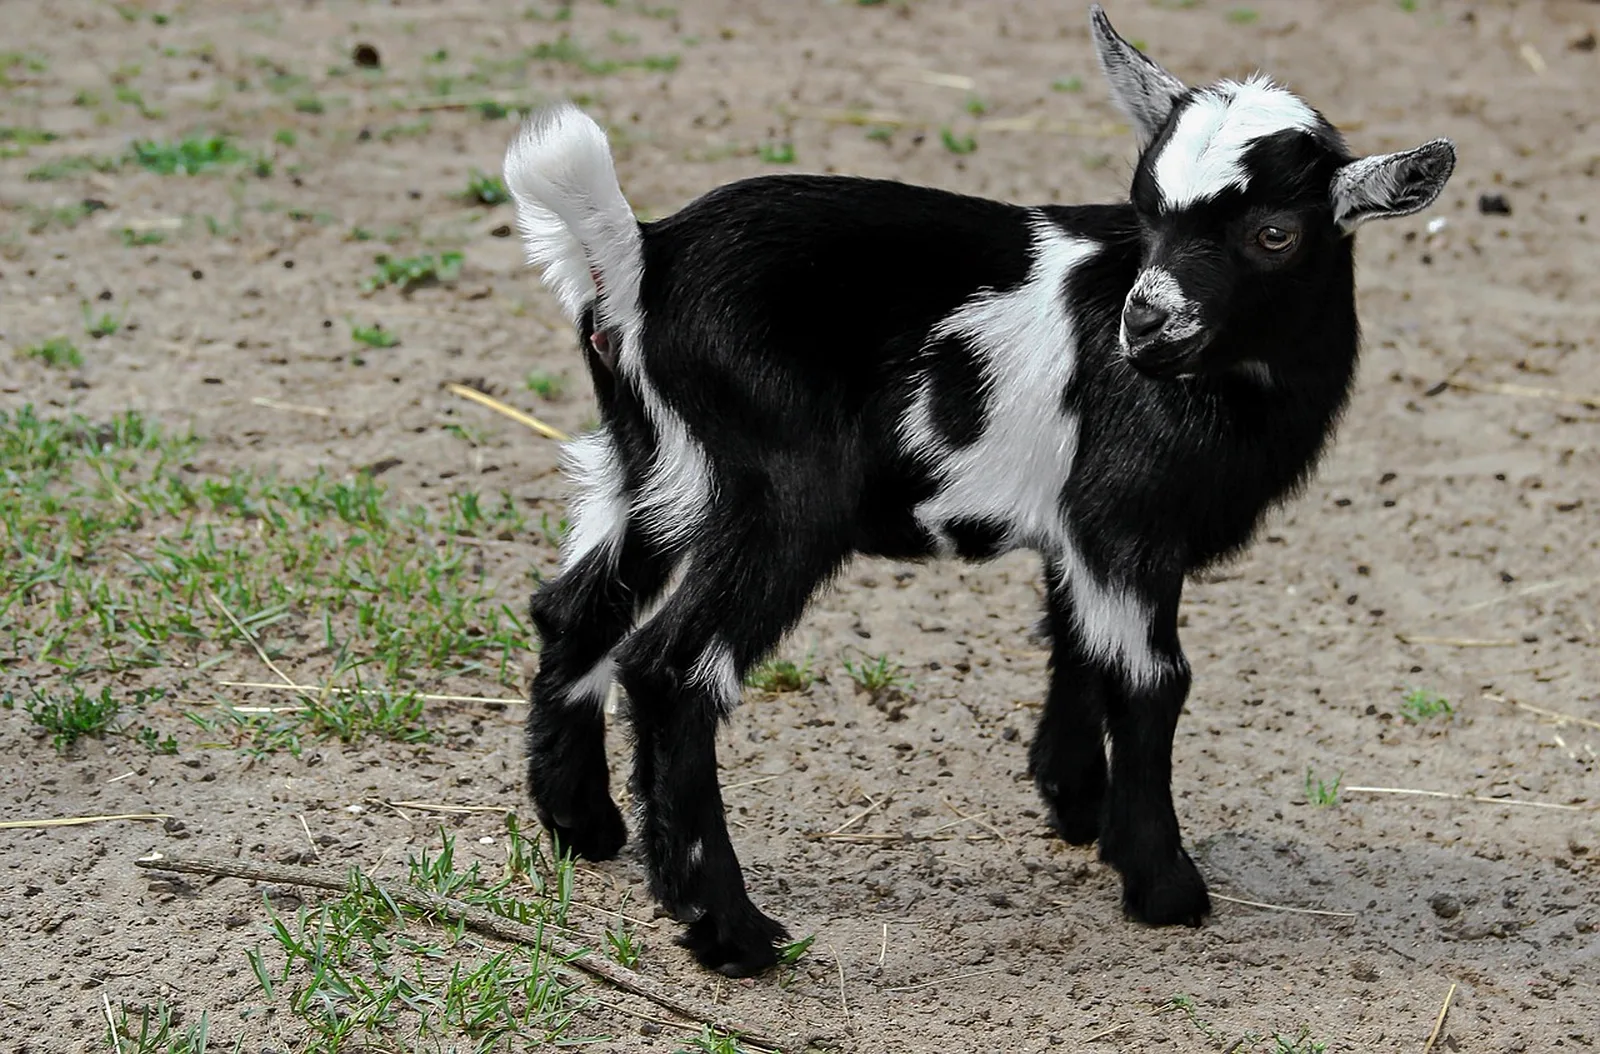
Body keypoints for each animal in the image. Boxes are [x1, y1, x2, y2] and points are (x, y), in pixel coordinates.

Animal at [503, 4, 1455, 976]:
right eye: (1146, 210)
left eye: (1275, 233)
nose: (1143, 323)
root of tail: (642, 262)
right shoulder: (1126, 520)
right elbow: (1153, 678)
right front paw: (1162, 886)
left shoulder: (1082, 524)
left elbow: (1076, 642)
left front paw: (1078, 805)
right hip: (779, 493)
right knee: (672, 668)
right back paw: (731, 930)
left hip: (652, 464)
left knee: (573, 607)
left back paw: (585, 826)